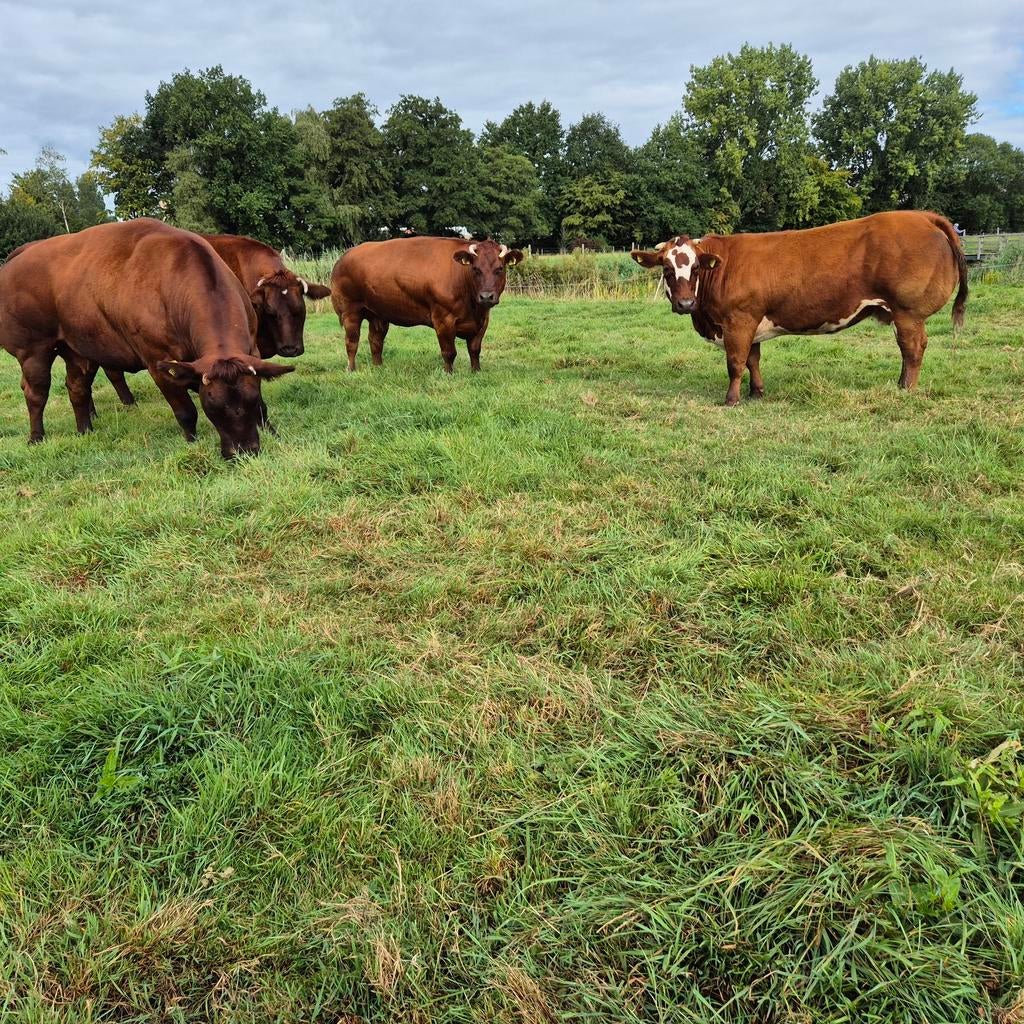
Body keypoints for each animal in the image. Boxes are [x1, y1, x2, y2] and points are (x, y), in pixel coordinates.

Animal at [0, 219, 293, 458]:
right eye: (212, 406)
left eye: (250, 400)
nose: (243, 451)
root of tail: (18, 257)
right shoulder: (158, 362)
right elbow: (185, 411)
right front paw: (192, 443)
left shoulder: (251, 351)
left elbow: (263, 405)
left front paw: (272, 431)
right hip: (34, 350)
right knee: (36, 392)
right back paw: (36, 437)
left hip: (77, 349)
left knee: (77, 387)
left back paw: (85, 430)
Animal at [330, 237, 524, 372]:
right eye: (475, 269)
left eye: (500, 269)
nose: (486, 297)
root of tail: (344, 257)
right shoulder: (443, 319)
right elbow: (449, 351)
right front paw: (448, 373)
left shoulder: (483, 320)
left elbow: (475, 349)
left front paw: (476, 371)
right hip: (350, 311)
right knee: (352, 342)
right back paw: (351, 369)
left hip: (378, 314)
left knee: (375, 341)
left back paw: (378, 367)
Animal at [630, 211, 968, 405]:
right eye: (666, 268)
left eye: (697, 267)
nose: (685, 303)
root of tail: (922, 216)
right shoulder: (752, 322)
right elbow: (753, 360)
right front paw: (757, 393)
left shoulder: (738, 321)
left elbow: (736, 363)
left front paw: (731, 399)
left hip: (908, 312)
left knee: (912, 349)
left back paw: (905, 389)